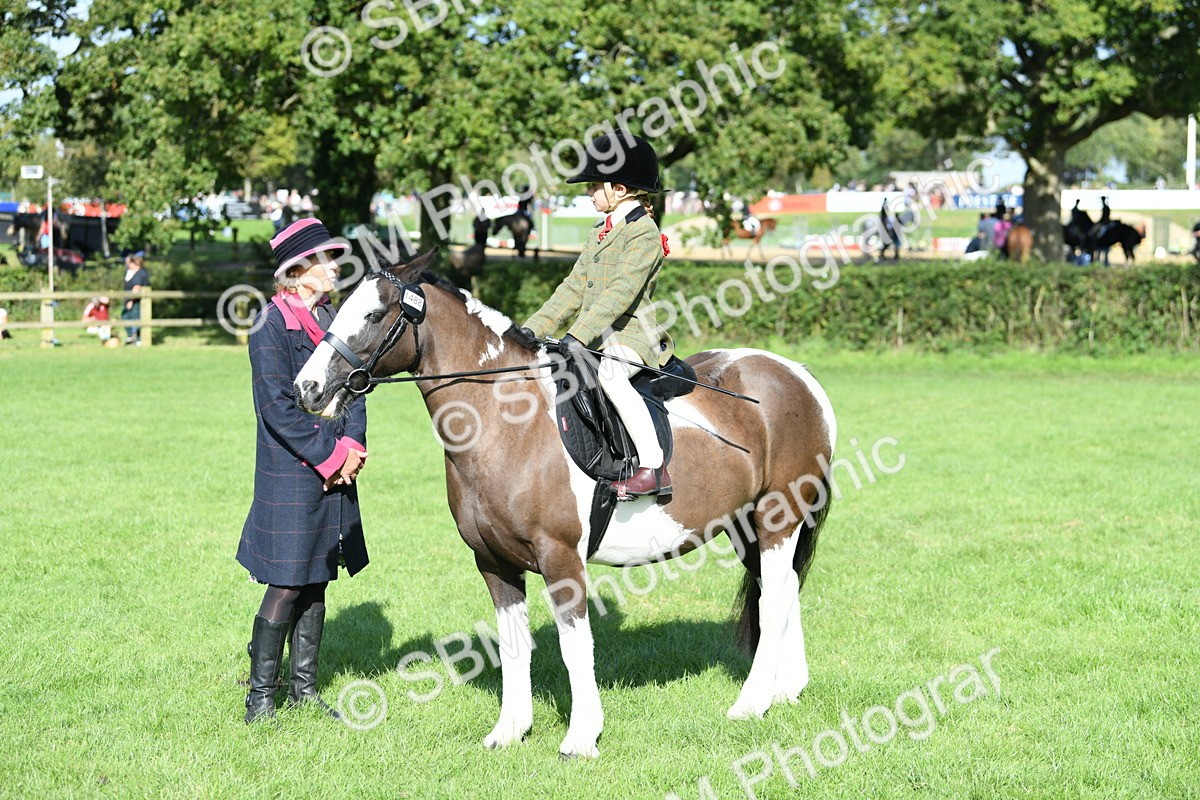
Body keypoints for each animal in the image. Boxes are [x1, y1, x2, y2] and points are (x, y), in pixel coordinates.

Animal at [294, 250, 837, 758]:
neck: (508, 419)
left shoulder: (561, 558)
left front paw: (581, 737)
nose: (307, 388)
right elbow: (513, 645)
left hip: (777, 518)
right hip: (747, 527)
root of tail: (798, 375)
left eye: (374, 314)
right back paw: (785, 691)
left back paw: (751, 703)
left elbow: (575, 646)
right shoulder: (493, 561)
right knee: (782, 589)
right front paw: (510, 731)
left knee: (775, 600)